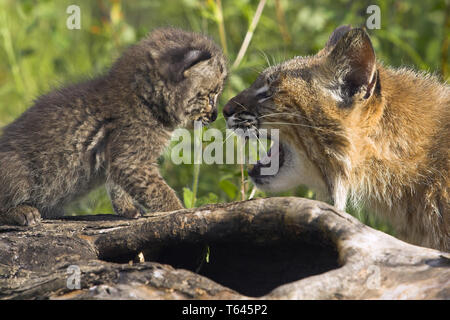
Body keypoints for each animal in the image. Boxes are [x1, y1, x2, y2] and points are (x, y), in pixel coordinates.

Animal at [0, 28, 225, 226]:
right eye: (210, 95)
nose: (216, 115)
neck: (144, 99)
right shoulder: (132, 161)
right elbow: (160, 193)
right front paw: (181, 212)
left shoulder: (119, 158)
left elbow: (116, 185)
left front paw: (127, 208)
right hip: (19, 173)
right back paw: (22, 211)